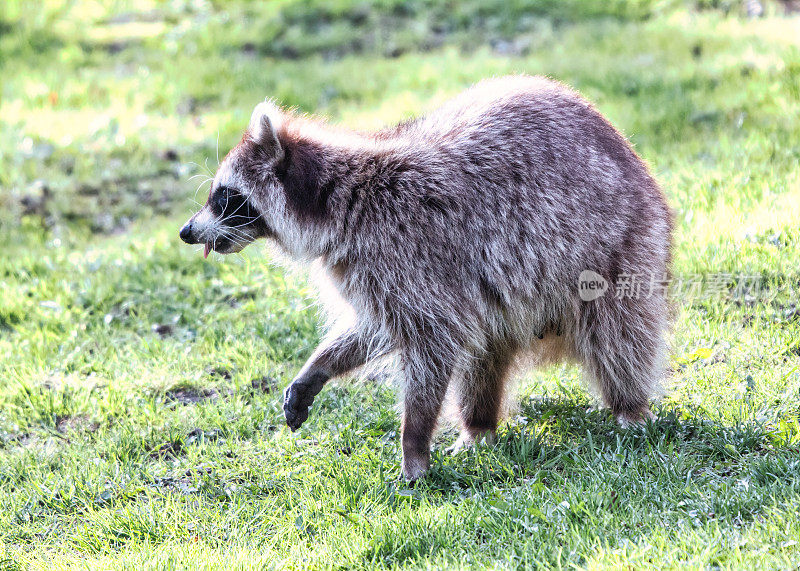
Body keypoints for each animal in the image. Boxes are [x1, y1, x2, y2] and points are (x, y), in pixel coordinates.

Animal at [181, 73, 676, 480]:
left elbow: (431, 345)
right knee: (485, 352)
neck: (340, 200)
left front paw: (414, 444)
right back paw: (478, 425)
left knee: (618, 335)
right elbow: (376, 328)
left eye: (224, 196)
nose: (186, 232)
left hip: (618, 247)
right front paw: (319, 365)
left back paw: (629, 406)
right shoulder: (372, 269)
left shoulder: (411, 252)